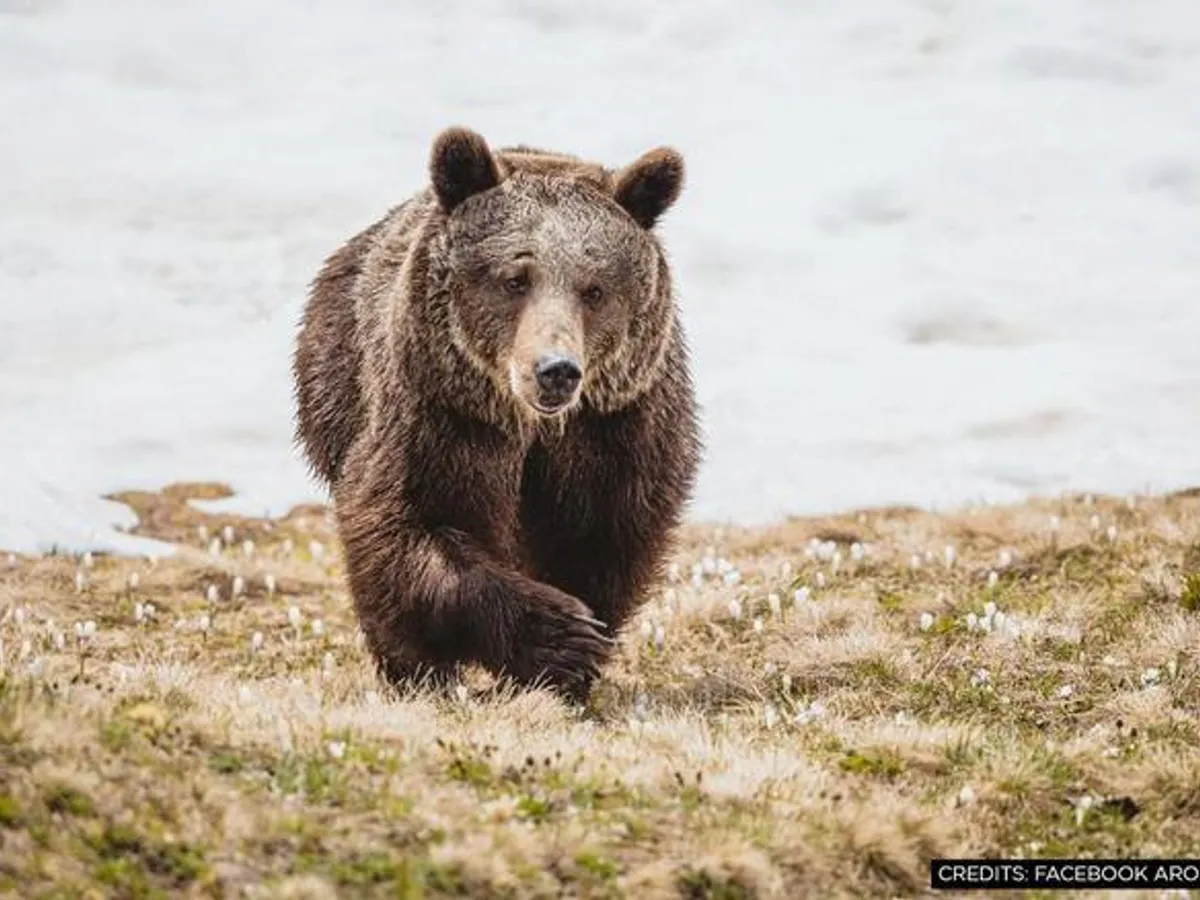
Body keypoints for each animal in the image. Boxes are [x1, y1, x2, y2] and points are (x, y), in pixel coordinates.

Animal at [292, 127, 700, 705]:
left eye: (594, 287)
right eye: (515, 278)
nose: (555, 370)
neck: (533, 428)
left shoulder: (614, 431)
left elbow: (600, 536)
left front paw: (573, 663)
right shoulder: (439, 417)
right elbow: (410, 526)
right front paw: (561, 635)